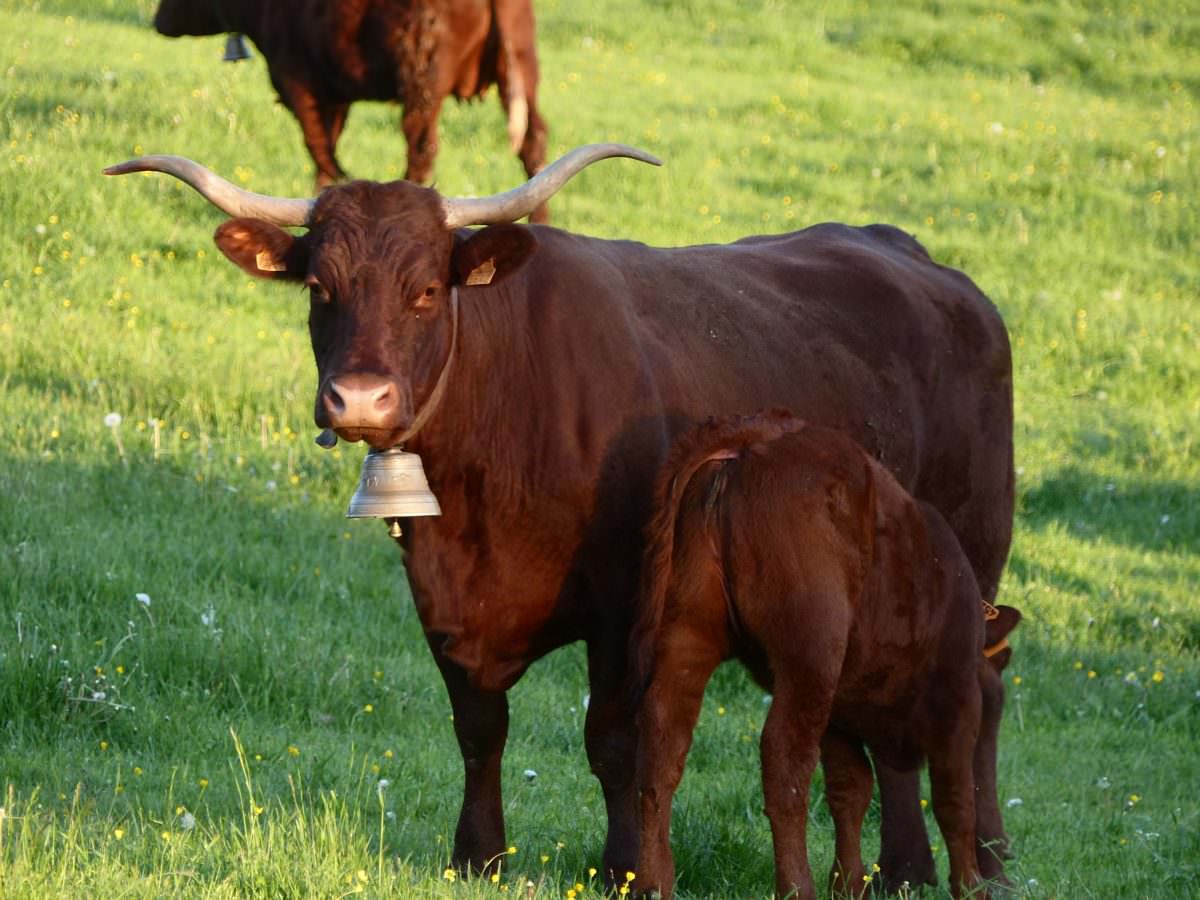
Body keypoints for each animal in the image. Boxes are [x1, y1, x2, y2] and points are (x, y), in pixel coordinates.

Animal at [152, 0, 550, 219]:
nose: (158, 21)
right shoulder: (334, 94)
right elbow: (327, 143)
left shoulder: (298, 83)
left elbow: (318, 145)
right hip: (523, 65)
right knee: (534, 144)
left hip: (422, 79)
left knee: (421, 150)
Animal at [631, 410, 1021, 899]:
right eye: (996, 708)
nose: (1002, 859)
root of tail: (754, 437)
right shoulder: (956, 700)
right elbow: (955, 798)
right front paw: (970, 887)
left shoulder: (841, 711)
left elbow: (850, 790)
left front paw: (850, 883)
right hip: (810, 651)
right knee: (784, 761)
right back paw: (797, 886)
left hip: (689, 631)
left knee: (662, 744)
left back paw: (653, 882)